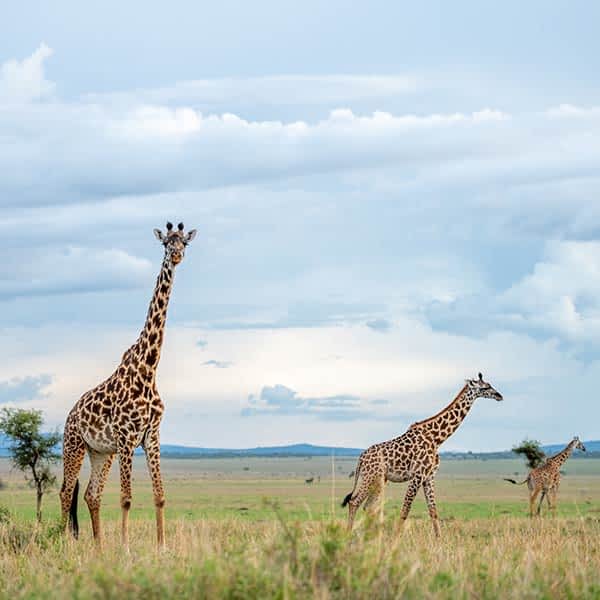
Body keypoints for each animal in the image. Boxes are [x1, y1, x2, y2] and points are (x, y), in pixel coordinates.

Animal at [58, 220, 196, 548]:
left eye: (185, 242)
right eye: (166, 243)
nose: (177, 256)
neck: (149, 368)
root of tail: (70, 414)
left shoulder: (151, 436)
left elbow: (160, 496)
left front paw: (161, 547)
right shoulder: (126, 437)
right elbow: (127, 498)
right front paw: (126, 548)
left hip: (101, 453)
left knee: (90, 494)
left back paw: (98, 548)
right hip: (74, 445)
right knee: (66, 491)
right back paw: (64, 542)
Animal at [342, 372, 502, 536]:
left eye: (489, 384)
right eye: (485, 387)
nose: (499, 396)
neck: (437, 438)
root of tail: (361, 458)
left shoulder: (429, 476)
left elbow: (433, 511)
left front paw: (439, 539)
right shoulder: (417, 475)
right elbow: (405, 510)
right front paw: (395, 537)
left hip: (380, 480)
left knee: (368, 506)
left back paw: (371, 535)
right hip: (371, 477)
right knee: (355, 502)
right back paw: (349, 534)